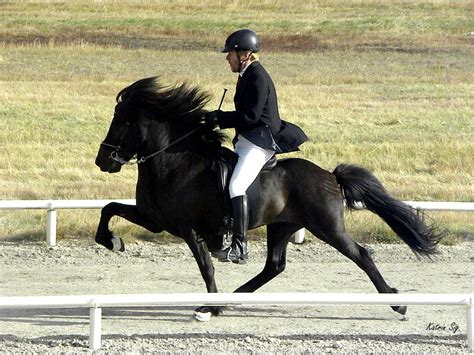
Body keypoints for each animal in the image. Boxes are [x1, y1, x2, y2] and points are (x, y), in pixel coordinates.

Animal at [94, 77, 438, 320]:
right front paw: (113, 241)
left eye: (121, 121)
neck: (174, 162)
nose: (103, 161)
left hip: (327, 226)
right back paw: (233, 297)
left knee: (362, 255)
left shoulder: (189, 229)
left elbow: (206, 267)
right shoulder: (155, 220)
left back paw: (397, 303)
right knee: (274, 266)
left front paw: (209, 307)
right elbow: (108, 209)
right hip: (282, 225)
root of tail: (328, 175)